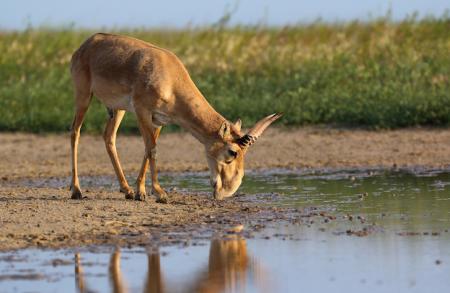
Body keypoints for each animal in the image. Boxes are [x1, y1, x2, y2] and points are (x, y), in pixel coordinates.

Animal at [70, 32, 282, 201]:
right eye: (232, 152)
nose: (226, 192)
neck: (170, 76)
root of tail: (86, 45)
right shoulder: (142, 112)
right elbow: (152, 150)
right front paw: (160, 193)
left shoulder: (159, 121)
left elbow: (147, 150)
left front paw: (140, 192)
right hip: (83, 96)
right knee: (75, 133)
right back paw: (76, 190)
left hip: (117, 109)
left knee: (109, 137)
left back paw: (126, 190)